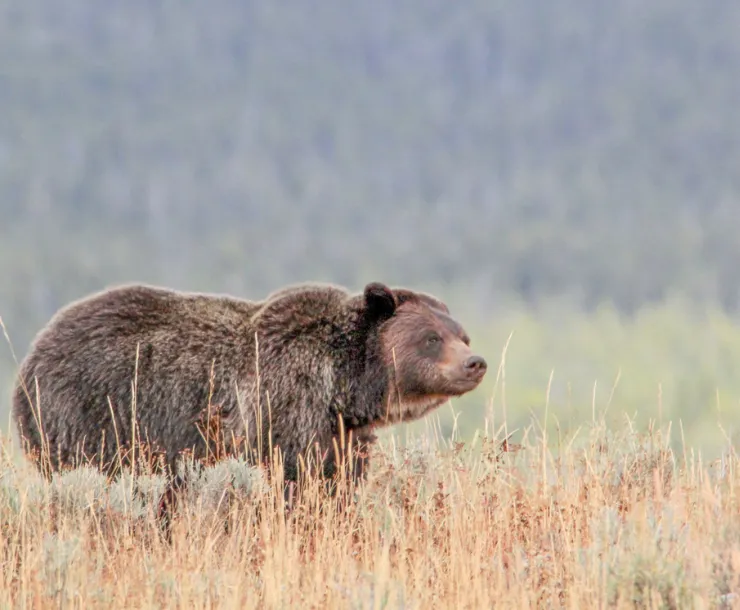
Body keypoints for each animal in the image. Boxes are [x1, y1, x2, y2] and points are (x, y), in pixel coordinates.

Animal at [11, 281, 488, 489]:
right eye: (431, 338)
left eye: (461, 334)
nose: (475, 362)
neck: (344, 386)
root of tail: (34, 350)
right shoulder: (284, 404)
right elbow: (290, 476)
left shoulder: (341, 431)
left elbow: (339, 476)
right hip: (88, 414)